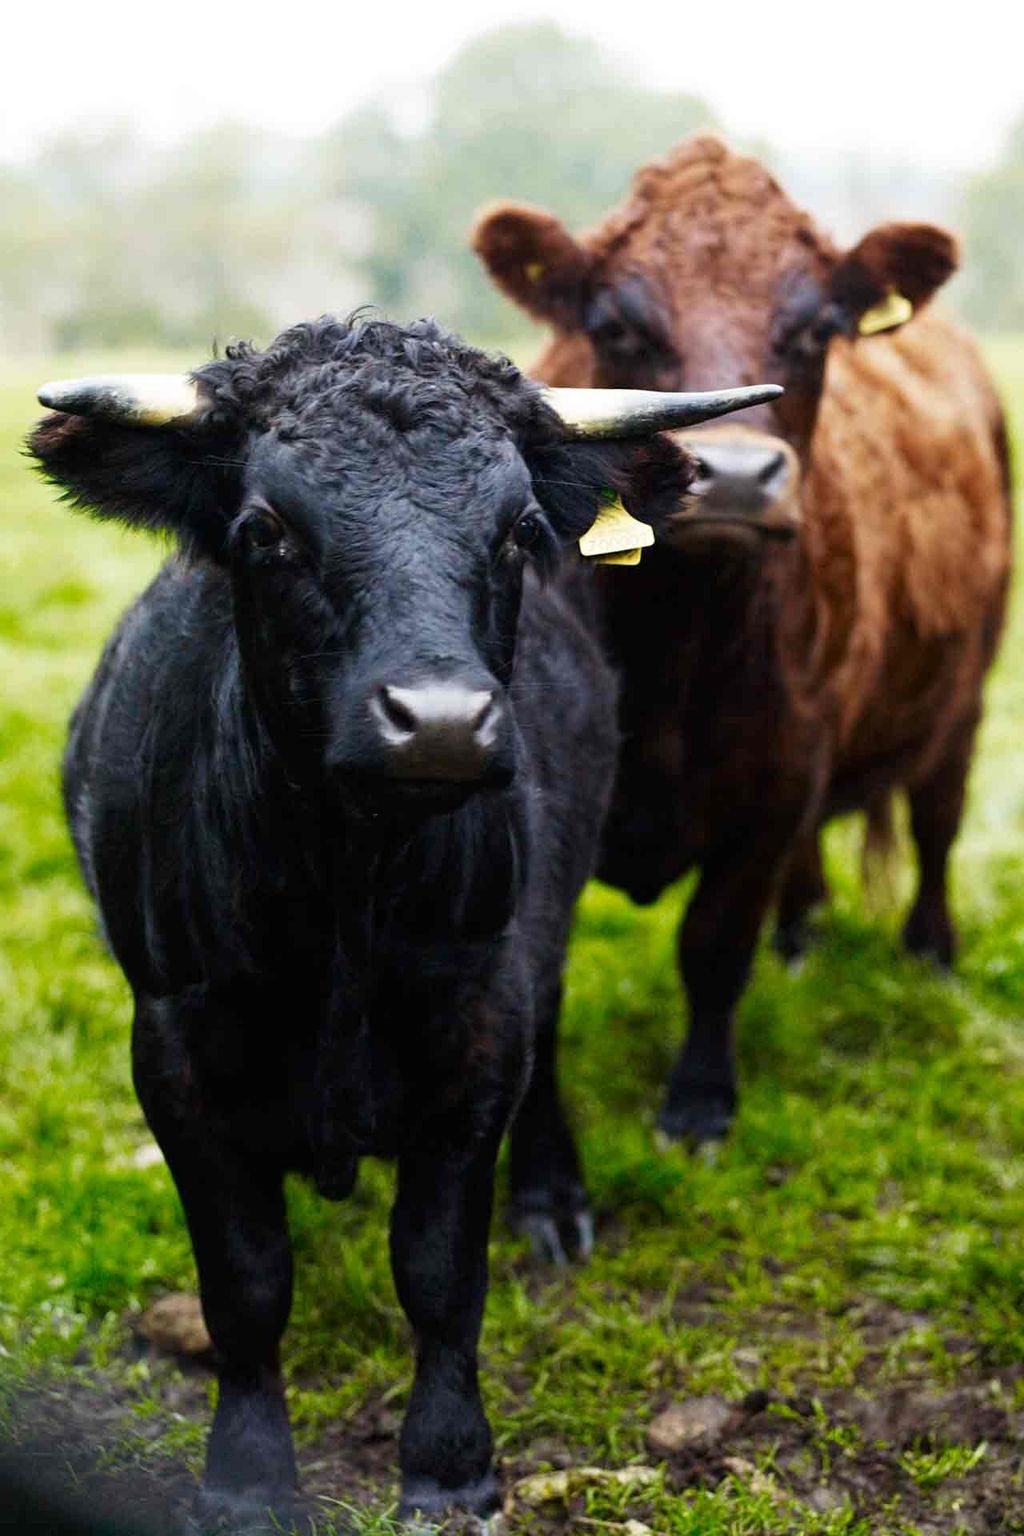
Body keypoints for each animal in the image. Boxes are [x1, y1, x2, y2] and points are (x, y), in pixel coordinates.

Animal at [29, 315, 773, 1530]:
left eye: (520, 529)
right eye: (266, 530)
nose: (439, 723)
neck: (344, 888)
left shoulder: (477, 1034)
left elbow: (438, 1273)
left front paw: (449, 1465)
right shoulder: (173, 1053)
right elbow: (245, 1285)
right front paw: (247, 1478)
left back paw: (552, 1202)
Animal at [473, 134, 1012, 1153]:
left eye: (815, 329)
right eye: (617, 325)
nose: (732, 477)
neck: (674, 644)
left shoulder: (774, 782)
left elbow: (715, 945)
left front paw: (698, 1104)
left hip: (964, 697)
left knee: (936, 822)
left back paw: (929, 954)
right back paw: (802, 940)